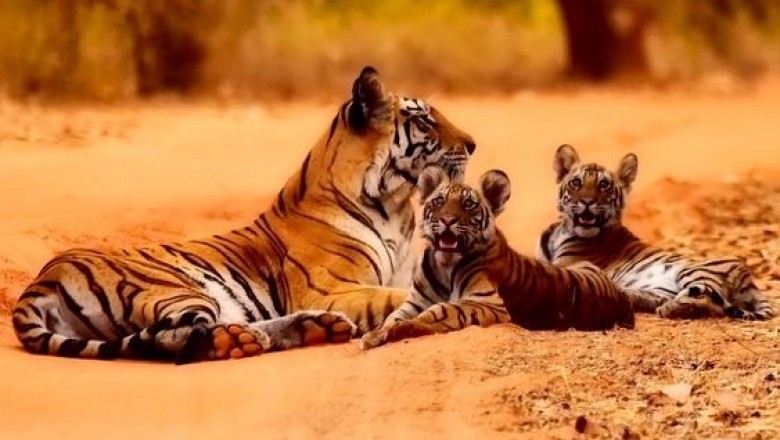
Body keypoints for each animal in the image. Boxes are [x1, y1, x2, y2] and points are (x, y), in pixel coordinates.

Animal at [12, 66, 478, 363]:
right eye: (425, 122)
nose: (473, 144)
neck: (396, 206)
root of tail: (41, 281)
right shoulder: (331, 288)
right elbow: (396, 298)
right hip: (176, 289)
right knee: (173, 338)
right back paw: (245, 340)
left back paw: (314, 329)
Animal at [360, 167, 635, 349]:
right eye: (438, 201)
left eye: (468, 205)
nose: (447, 220)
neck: (444, 264)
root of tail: (620, 294)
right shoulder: (415, 300)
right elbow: (394, 315)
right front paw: (376, 334)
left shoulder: (488, 303)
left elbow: (442, 310)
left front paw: (401, 329)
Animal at [536, 143, 775, 320]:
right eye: (576, 183)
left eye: (604, 185)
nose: (587, 201)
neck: (562, 231)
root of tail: (750, 280)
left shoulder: (568, 266)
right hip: (660, 288)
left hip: (694, 272)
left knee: (710, 303)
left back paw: (671, 309)